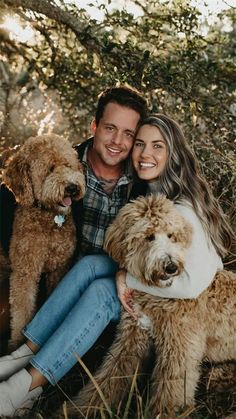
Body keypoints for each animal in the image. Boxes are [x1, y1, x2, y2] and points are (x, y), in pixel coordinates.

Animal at [0, 135, 85, 348]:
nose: (72, 187)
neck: (49, 217)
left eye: (68, 165)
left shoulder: (59, 268)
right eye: (50, 169)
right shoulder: (25, 271)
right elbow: (22, 311)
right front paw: (17, 341)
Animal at [72, 197, 236, 419]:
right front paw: (82, 409)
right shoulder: (131, 338)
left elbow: (170, 393)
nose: (171, 267)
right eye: (149, 236)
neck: (158, 296)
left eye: (171, 235)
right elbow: (110, 375)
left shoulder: (179, 351)